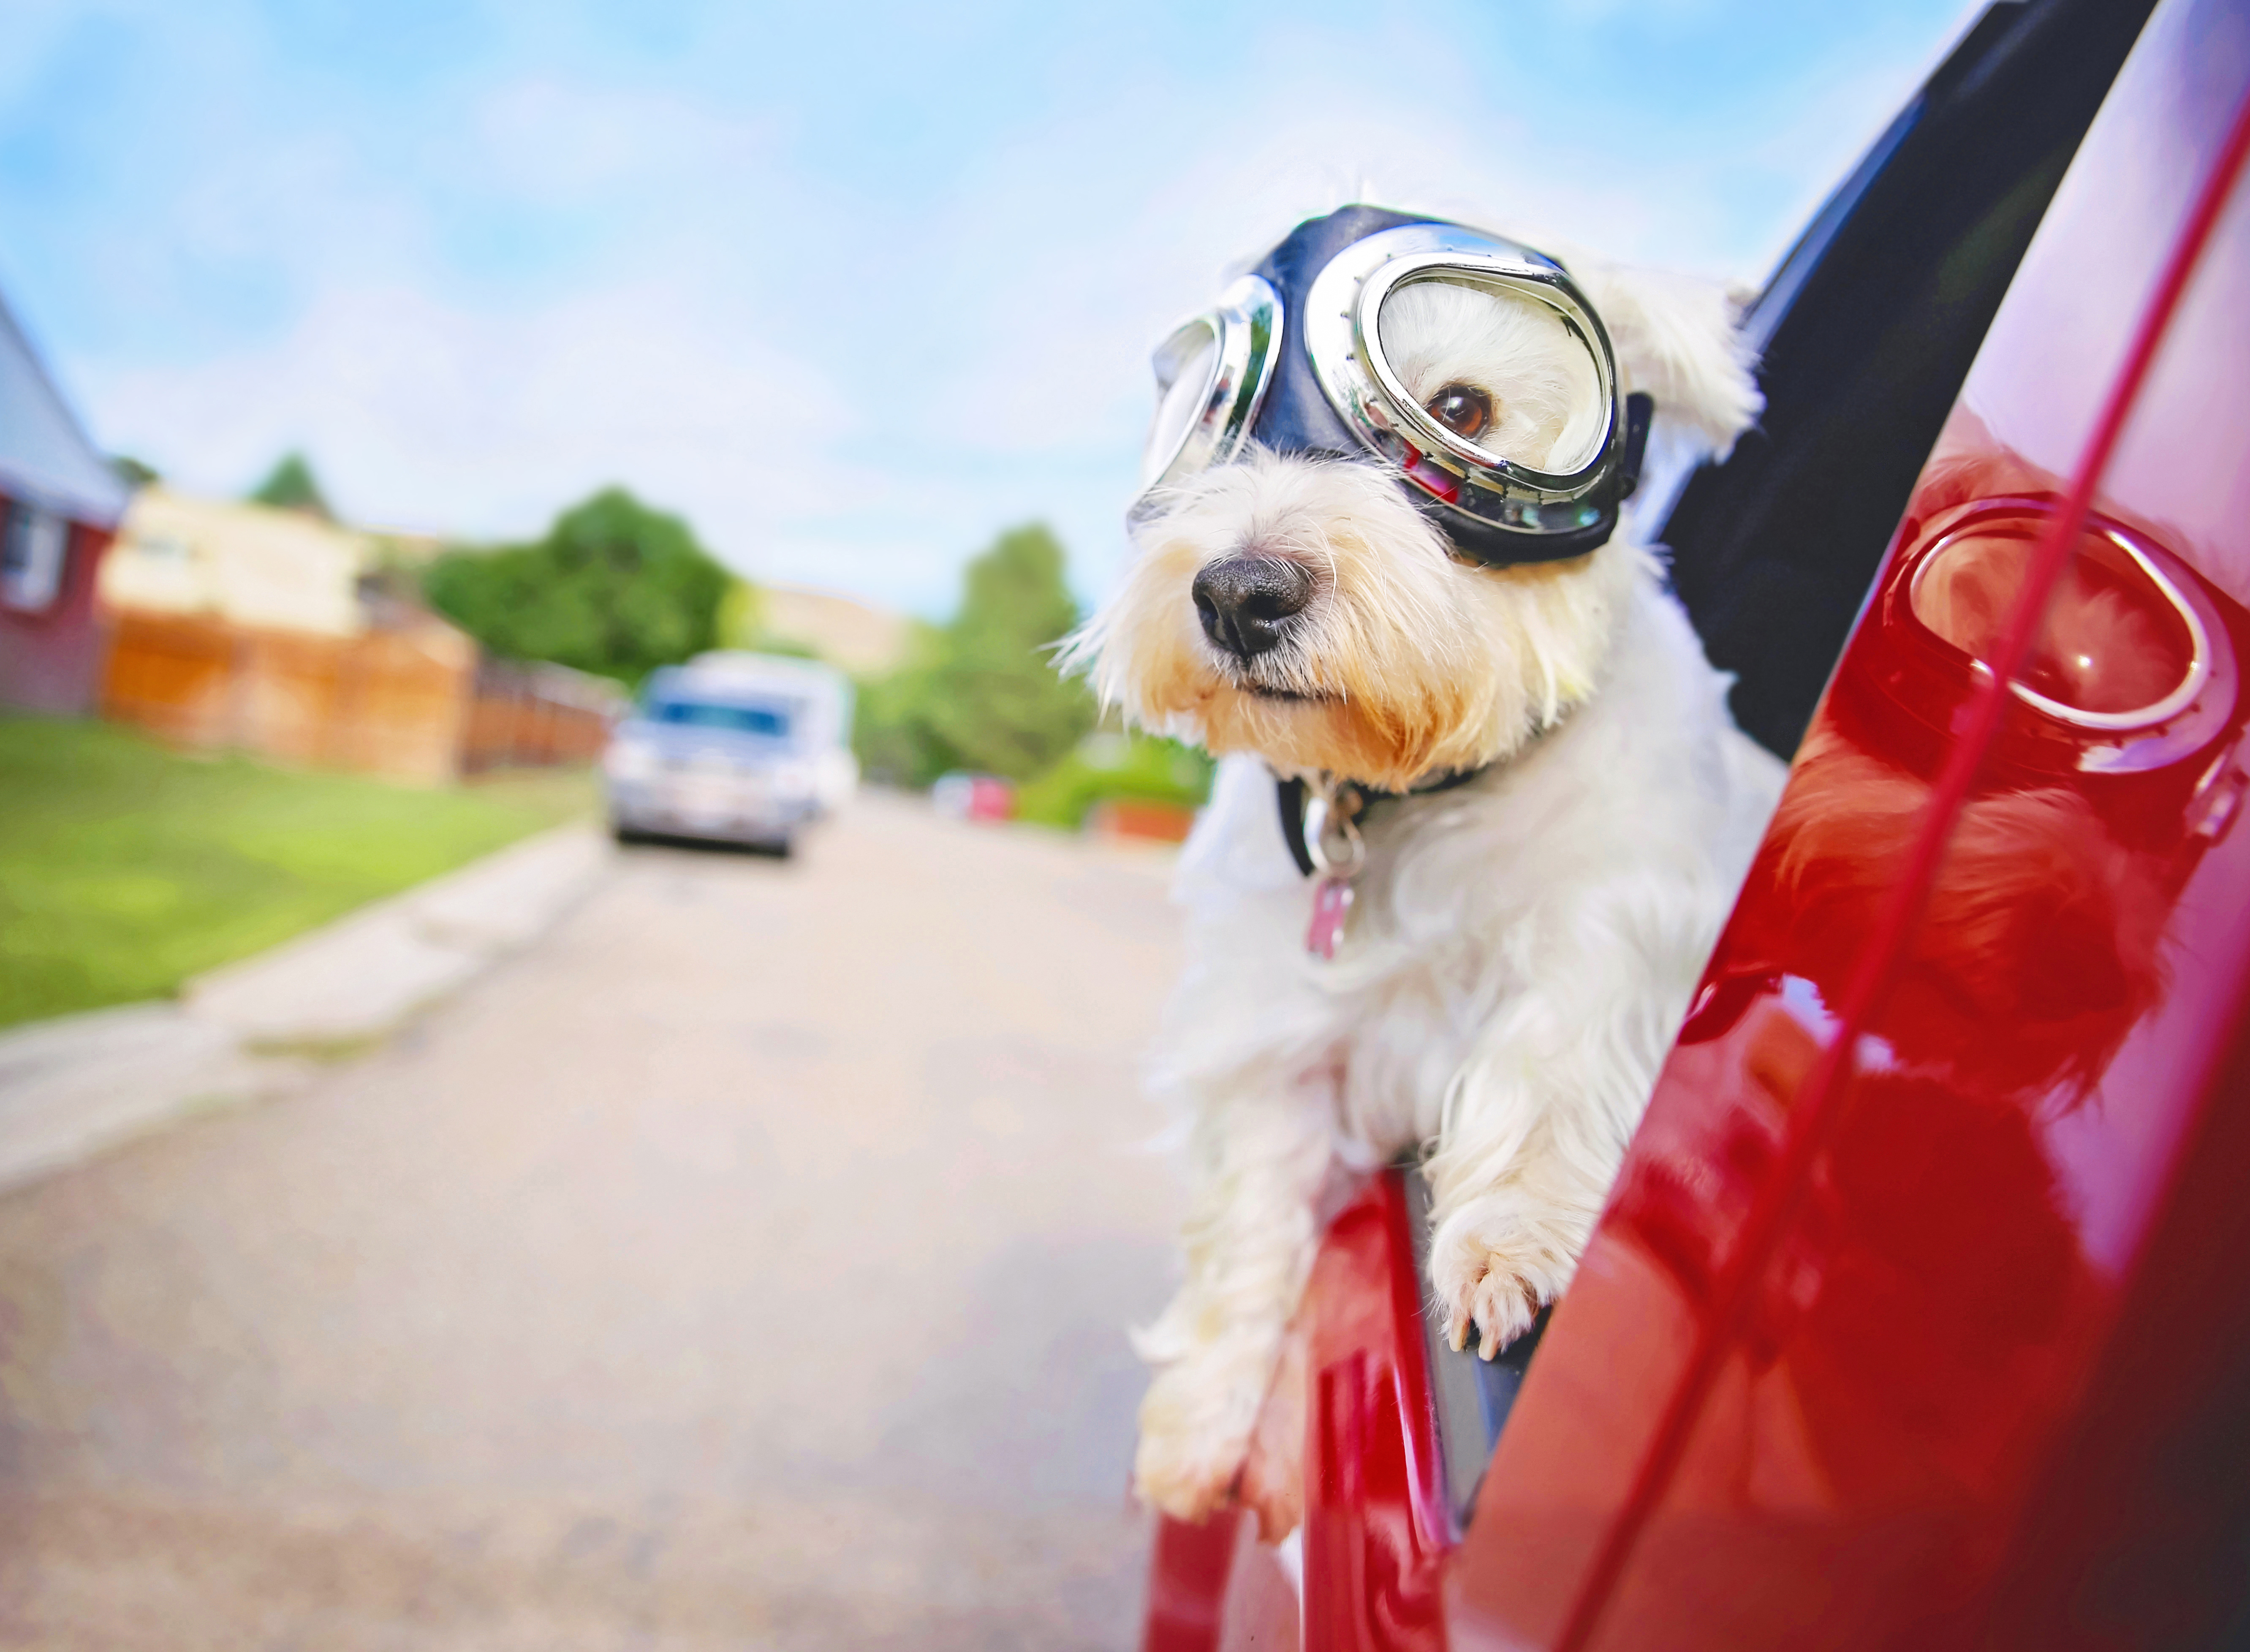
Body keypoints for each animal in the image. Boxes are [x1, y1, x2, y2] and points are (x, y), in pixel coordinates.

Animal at [1062, 210, 1782, 1539]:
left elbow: (1550, 1062)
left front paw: (1510, 1239)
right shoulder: (1279, 1043)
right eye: (1215, 422)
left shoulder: (1619, 924)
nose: (1238, 593)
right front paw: (1201, 1424)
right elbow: (1251, 1220)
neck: (1409, 793)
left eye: (1460, 407)